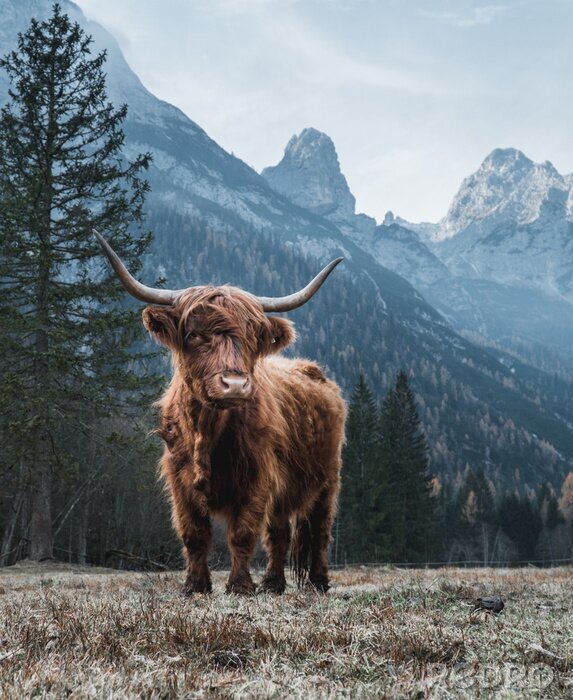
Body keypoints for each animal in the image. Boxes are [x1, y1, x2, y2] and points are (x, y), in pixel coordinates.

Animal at [94, 230, 346, 595]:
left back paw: (318, 582)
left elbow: (242, 534)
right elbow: (194, 534)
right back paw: (273, 584)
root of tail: (313, 370)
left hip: (328, 479)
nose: (236, 385)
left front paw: (239, 586)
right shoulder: (179, 480)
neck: (207, 431)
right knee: (280, 534)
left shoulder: (257, 477)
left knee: (319, 531)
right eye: (194, 334)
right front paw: (195, 586)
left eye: (253, 336)